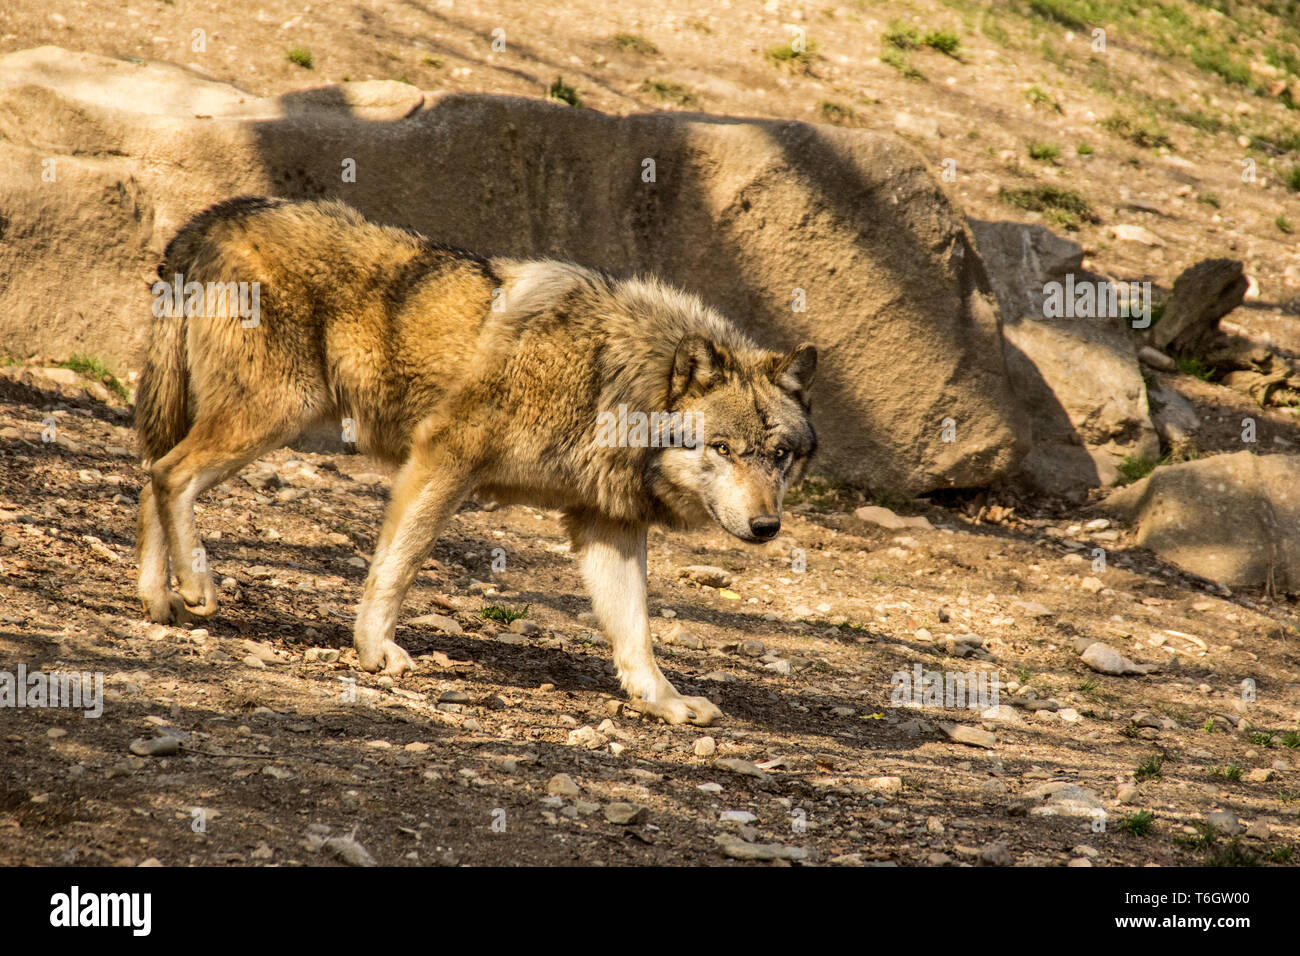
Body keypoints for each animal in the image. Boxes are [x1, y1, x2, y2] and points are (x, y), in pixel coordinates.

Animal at [137, 196, 816, 723]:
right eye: (722, 449)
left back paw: (157, 601)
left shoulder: (609, 525)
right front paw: (374, 652)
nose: (767, 527)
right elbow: (398, 565)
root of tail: (214, 216)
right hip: (276, 414)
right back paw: (195, 585)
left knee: (150, 477)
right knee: (171, 476)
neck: (612, 379)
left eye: (779, 455)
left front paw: (665, 702)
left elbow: (636, 630)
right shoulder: (443, 459)